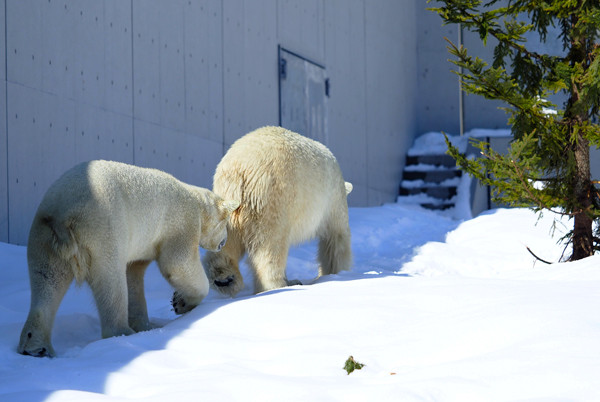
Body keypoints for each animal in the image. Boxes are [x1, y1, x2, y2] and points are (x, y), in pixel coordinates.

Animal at [203, 127, 352, 296]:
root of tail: (240, 169)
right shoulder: (333, 201)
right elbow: (336, 238)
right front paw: (337, 273)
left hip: (227, 200)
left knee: (225, 240)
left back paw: (224, 279)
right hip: (272, 198)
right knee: (270, 246)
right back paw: (277, 286)